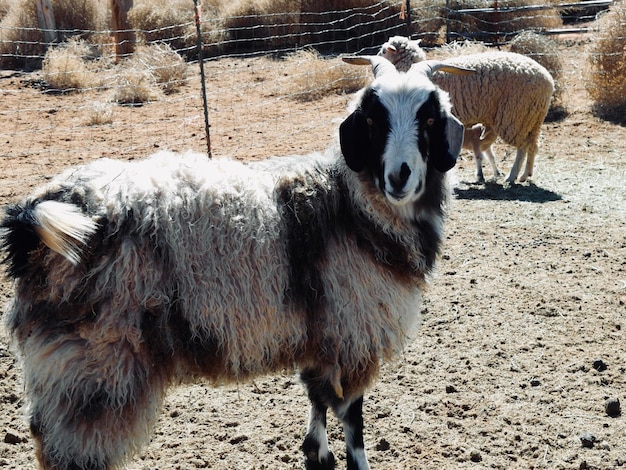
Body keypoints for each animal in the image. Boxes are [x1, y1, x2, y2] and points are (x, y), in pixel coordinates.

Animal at [1, 56, 468, 470]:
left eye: (429, 119)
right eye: (372, 120)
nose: (399, 176)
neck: (349, 203)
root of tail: (36, 214)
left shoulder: (322, 333)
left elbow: (316, 396)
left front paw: (316, 453)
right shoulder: (353, 331)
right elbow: (351, 419)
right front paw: (352, 461)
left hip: (67, 368)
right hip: (94, 366)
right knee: (71, 453)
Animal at [376, 36, 552, 184]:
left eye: (384, 51)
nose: (376, 55)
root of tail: (549, 81)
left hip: (515, 115)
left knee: (522, 147)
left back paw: (512, 176)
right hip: (531, 117)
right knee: (533, 145)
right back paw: (526, 174)